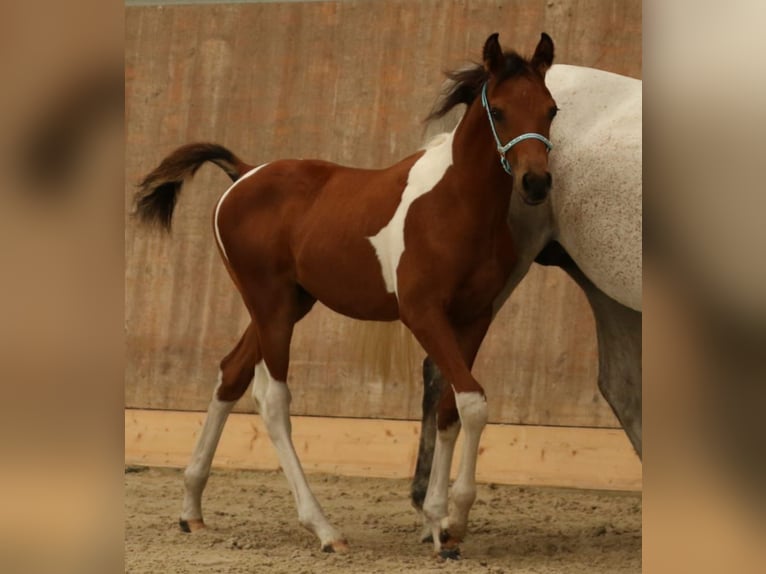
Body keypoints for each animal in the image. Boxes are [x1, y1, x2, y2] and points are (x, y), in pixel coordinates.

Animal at [135, 31, 560, 560]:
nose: (536, 183)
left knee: (231, 374)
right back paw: (323, 529)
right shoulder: (421, 313)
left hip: (289, 305)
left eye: (551, 109)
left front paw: (446, 525)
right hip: (271, 306)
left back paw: (191, 509)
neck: (456, 205)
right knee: (272, 399)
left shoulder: (475, 317)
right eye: (499, 111)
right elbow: (473, 402)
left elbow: (452, 408)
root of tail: (245, 173)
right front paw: (444, 520)